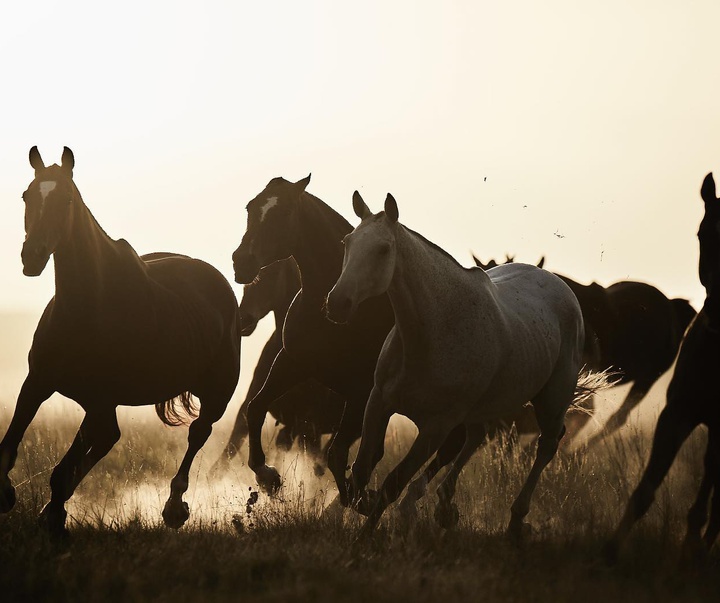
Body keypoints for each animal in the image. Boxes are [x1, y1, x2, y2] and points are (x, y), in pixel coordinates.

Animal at [0, 147, 242, 536]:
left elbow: (61, 471)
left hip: (217, 394)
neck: (87, 306)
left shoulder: (100, 398)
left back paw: (174, 507)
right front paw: (9, 495)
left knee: (197, 434)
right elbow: (10, 446)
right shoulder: (38, 382)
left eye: (67, 199)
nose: (32, 256)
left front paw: (53, 519)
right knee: (109, 437)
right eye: (27, 195)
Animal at [326, 192, 584, 536]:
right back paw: (445, 505)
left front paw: (366, 534)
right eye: (347, 242)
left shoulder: (437, 425)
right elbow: (362, 466)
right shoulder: (379, 401)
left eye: (383, 249)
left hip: (553, 399)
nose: (337, 303)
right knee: (477, 436)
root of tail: (560, 285)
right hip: (481, 408)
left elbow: (394, 481)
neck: (432, 331)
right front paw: (362, 503)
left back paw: (516, 519)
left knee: (547, 445)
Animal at [608, 171, 720, 560]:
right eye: (702, 232)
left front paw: (692, 548)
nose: (715, 310)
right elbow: (646, 487)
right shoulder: (677, 412)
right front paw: (610, 550)